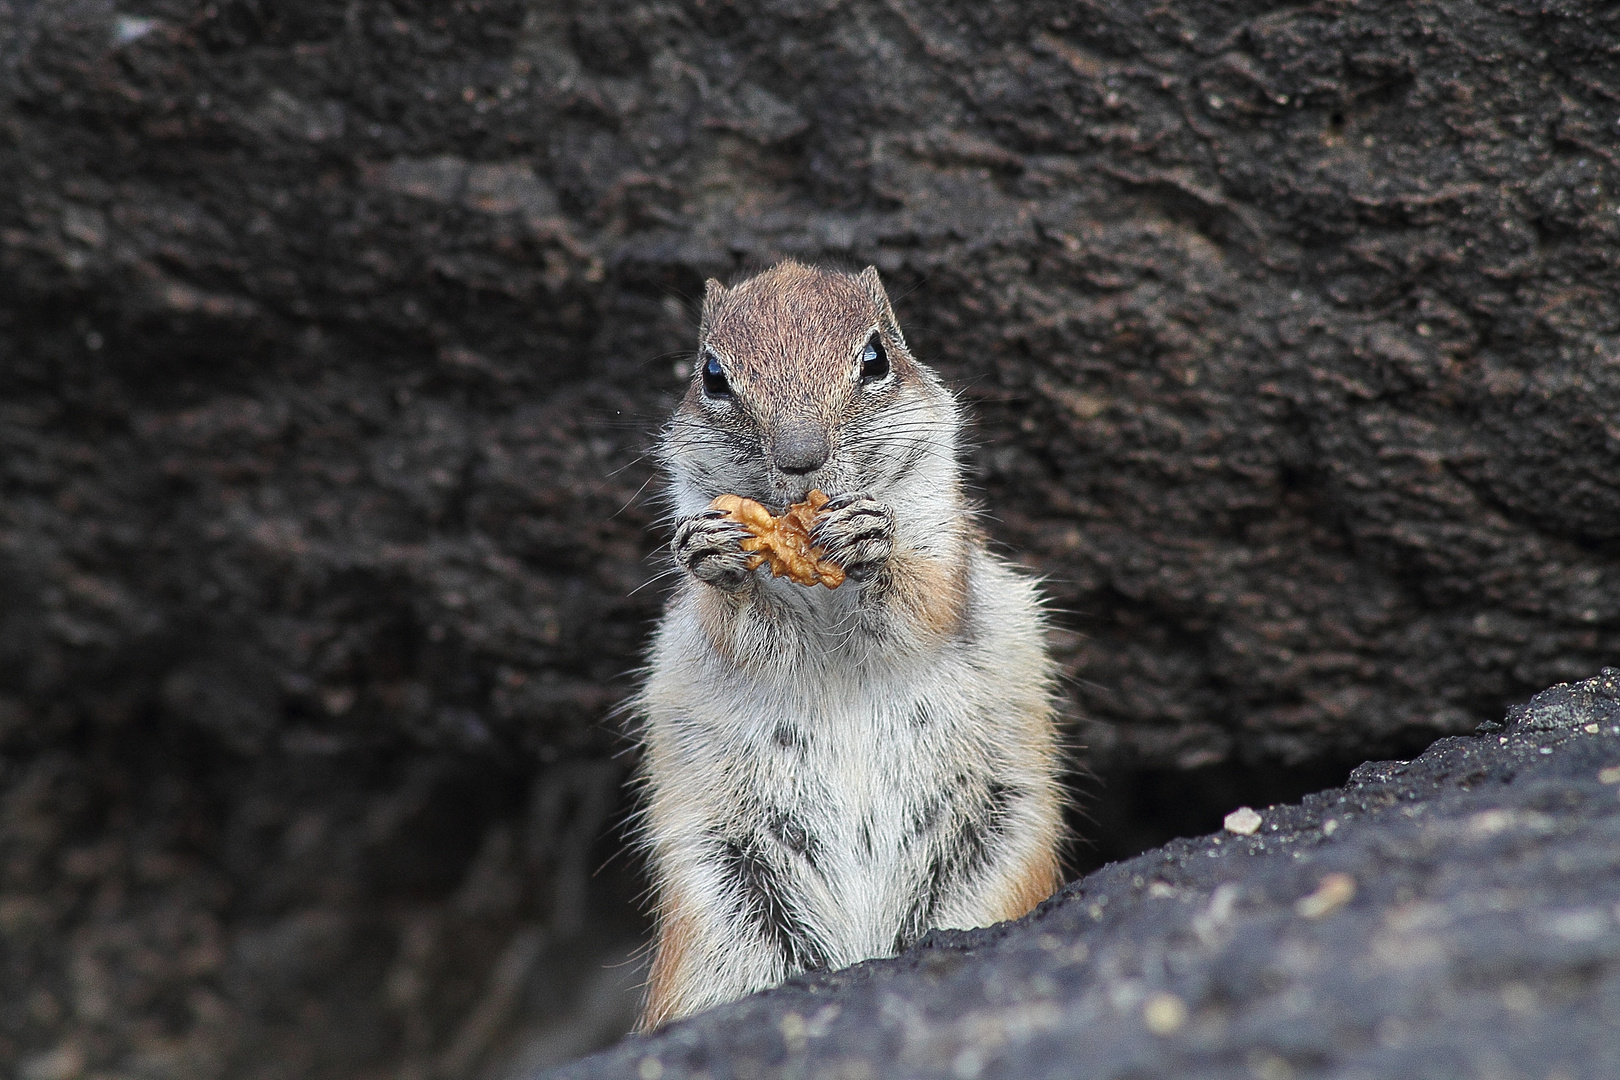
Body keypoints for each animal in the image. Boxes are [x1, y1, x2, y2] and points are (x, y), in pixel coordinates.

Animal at [631, 262, 1062, 1029]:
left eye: (875, 360)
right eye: (712, 375)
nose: (801, 458)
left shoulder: (946, 552)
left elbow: (921, 600)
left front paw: (869, 543)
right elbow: (743, 631)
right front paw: (716, 554)